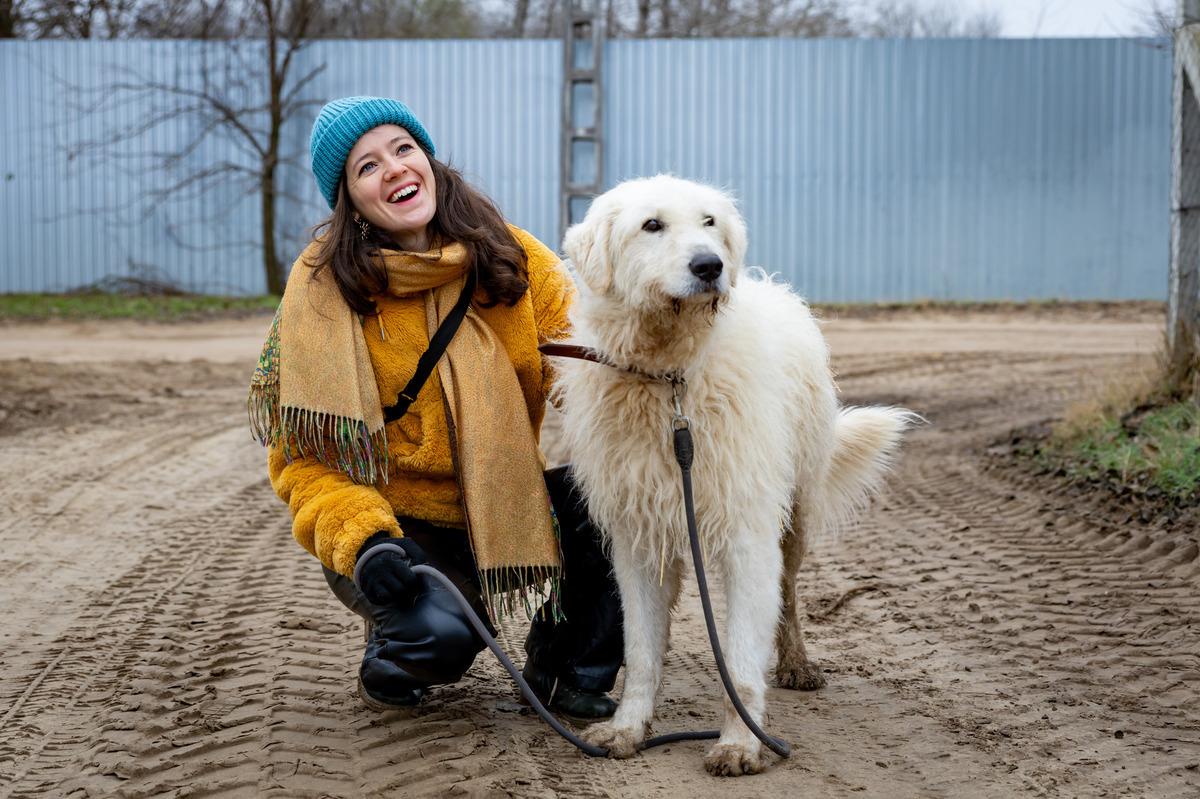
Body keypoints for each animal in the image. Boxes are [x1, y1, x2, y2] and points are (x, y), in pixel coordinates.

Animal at [550, 175, 915, 776]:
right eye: (652, 225)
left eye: (709, 222)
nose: (710, 265)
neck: (670, 380)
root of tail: (773, 287)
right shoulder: (638, 540)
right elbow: (642, 653)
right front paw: (628, 729)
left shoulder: (748, 534)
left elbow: (741, 658)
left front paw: (742, 742)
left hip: (796, 514)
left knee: (788, 595)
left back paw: (796, 665)